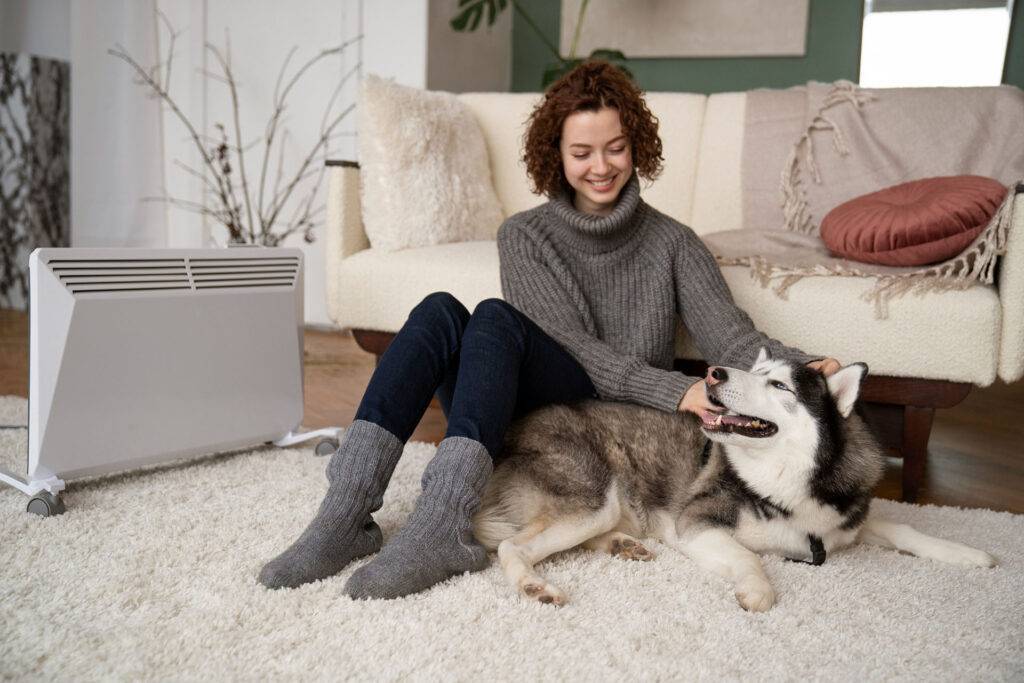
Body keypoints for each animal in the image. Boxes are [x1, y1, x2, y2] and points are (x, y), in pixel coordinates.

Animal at [475, 350, 995, 610]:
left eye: (779, 384)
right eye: (754, 371)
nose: (713, 373)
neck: (787, 482)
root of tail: (507, 434)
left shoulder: (845, 521)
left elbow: (905, 528)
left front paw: (966, 553)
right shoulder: (696, 524)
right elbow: (750, 557)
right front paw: (759, 590)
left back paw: (622, 545)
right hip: (596, 497)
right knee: (512, 546)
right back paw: (535, 586)